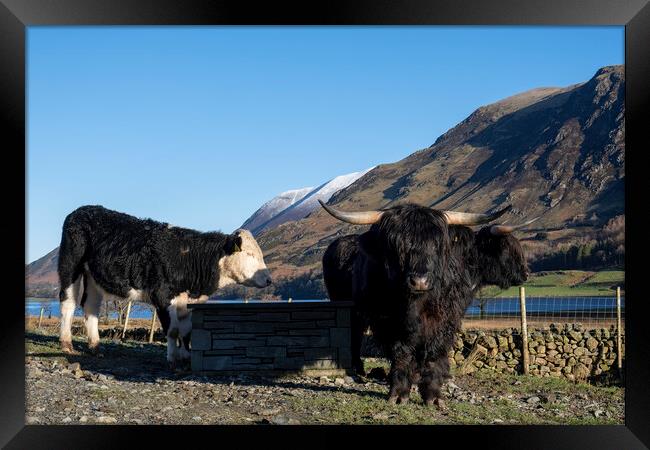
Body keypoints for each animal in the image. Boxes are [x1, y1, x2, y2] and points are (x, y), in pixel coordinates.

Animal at [57, 205, 272, 366]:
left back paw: (95, 347)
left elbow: (186, 330)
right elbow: (173, 330)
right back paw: (67, 344)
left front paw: (186, 357)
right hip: (71, 265)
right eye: (249, 254)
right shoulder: (161, 296)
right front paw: (173, 359)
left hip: (93, 277)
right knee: (68, 303)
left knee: (90, 307)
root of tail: (82, 210)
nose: (269, 279)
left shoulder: (187, 301)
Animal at [316, 199, 508, 406]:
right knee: (354, 335)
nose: (420, 281)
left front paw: (433, 396)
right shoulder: (388, 322)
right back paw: (357, 369)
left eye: (436, 245)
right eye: (396, 245)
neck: (417, 305)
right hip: (347, 307)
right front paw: (399, 394)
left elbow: (433, 354)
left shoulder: (445, 321)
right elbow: (401, 353)